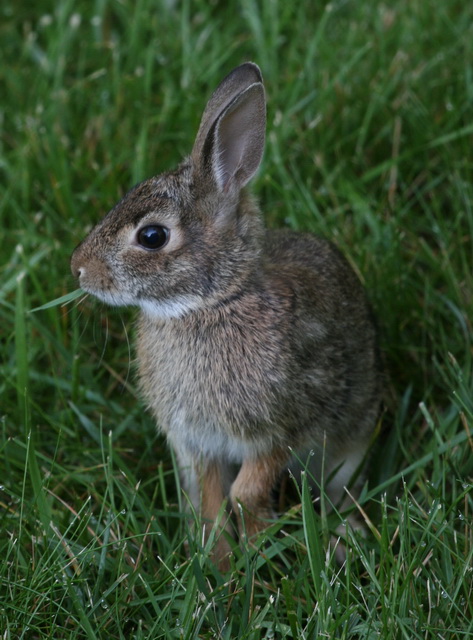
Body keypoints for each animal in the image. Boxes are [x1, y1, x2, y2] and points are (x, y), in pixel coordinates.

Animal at [71, 62, 381, 569]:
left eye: (152, 236)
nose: (78, 269)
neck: (213, 304)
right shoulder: (196, 442)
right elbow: (212, 501)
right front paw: (219, 565)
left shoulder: (285, 426)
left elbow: (246, 492)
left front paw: (254, 553)